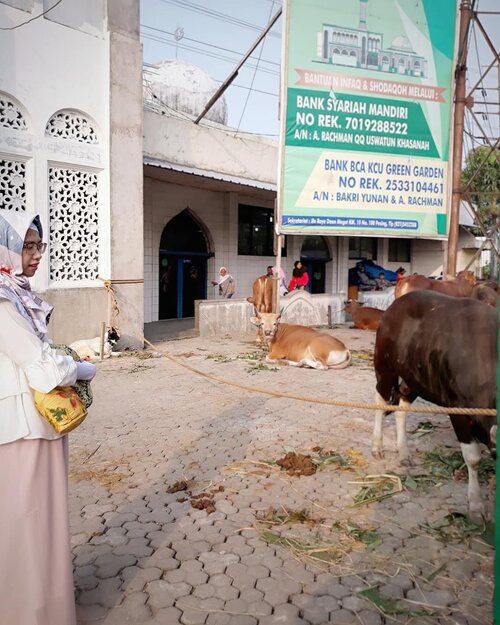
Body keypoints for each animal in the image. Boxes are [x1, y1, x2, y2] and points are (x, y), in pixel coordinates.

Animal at [372, 290, 496, 520]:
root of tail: (394, 307)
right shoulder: (457, 409)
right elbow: (473, 457)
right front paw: (476, 505)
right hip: (384, 367)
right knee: (380, 400)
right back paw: (377, 446)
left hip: (413, 378)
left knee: (401, 408)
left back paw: (404, 453)